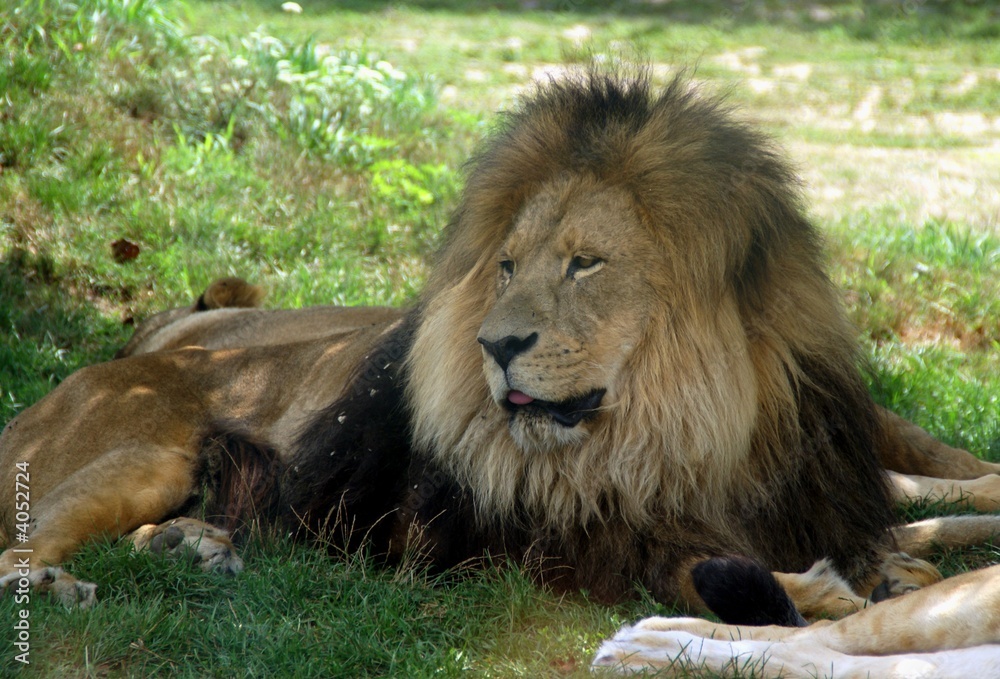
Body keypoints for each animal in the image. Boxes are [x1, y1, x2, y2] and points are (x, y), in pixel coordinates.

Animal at [3, 73, 1000, 656]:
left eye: (586, 262)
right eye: (510, 266)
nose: (495, 343)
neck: (682, 427)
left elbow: (906, 517)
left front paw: (889, 569)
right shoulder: (523, 544)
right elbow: (689, 571)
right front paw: (825, 590)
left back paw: (197, 545)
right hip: (143, 451)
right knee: (20, 545)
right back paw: (65, 579)